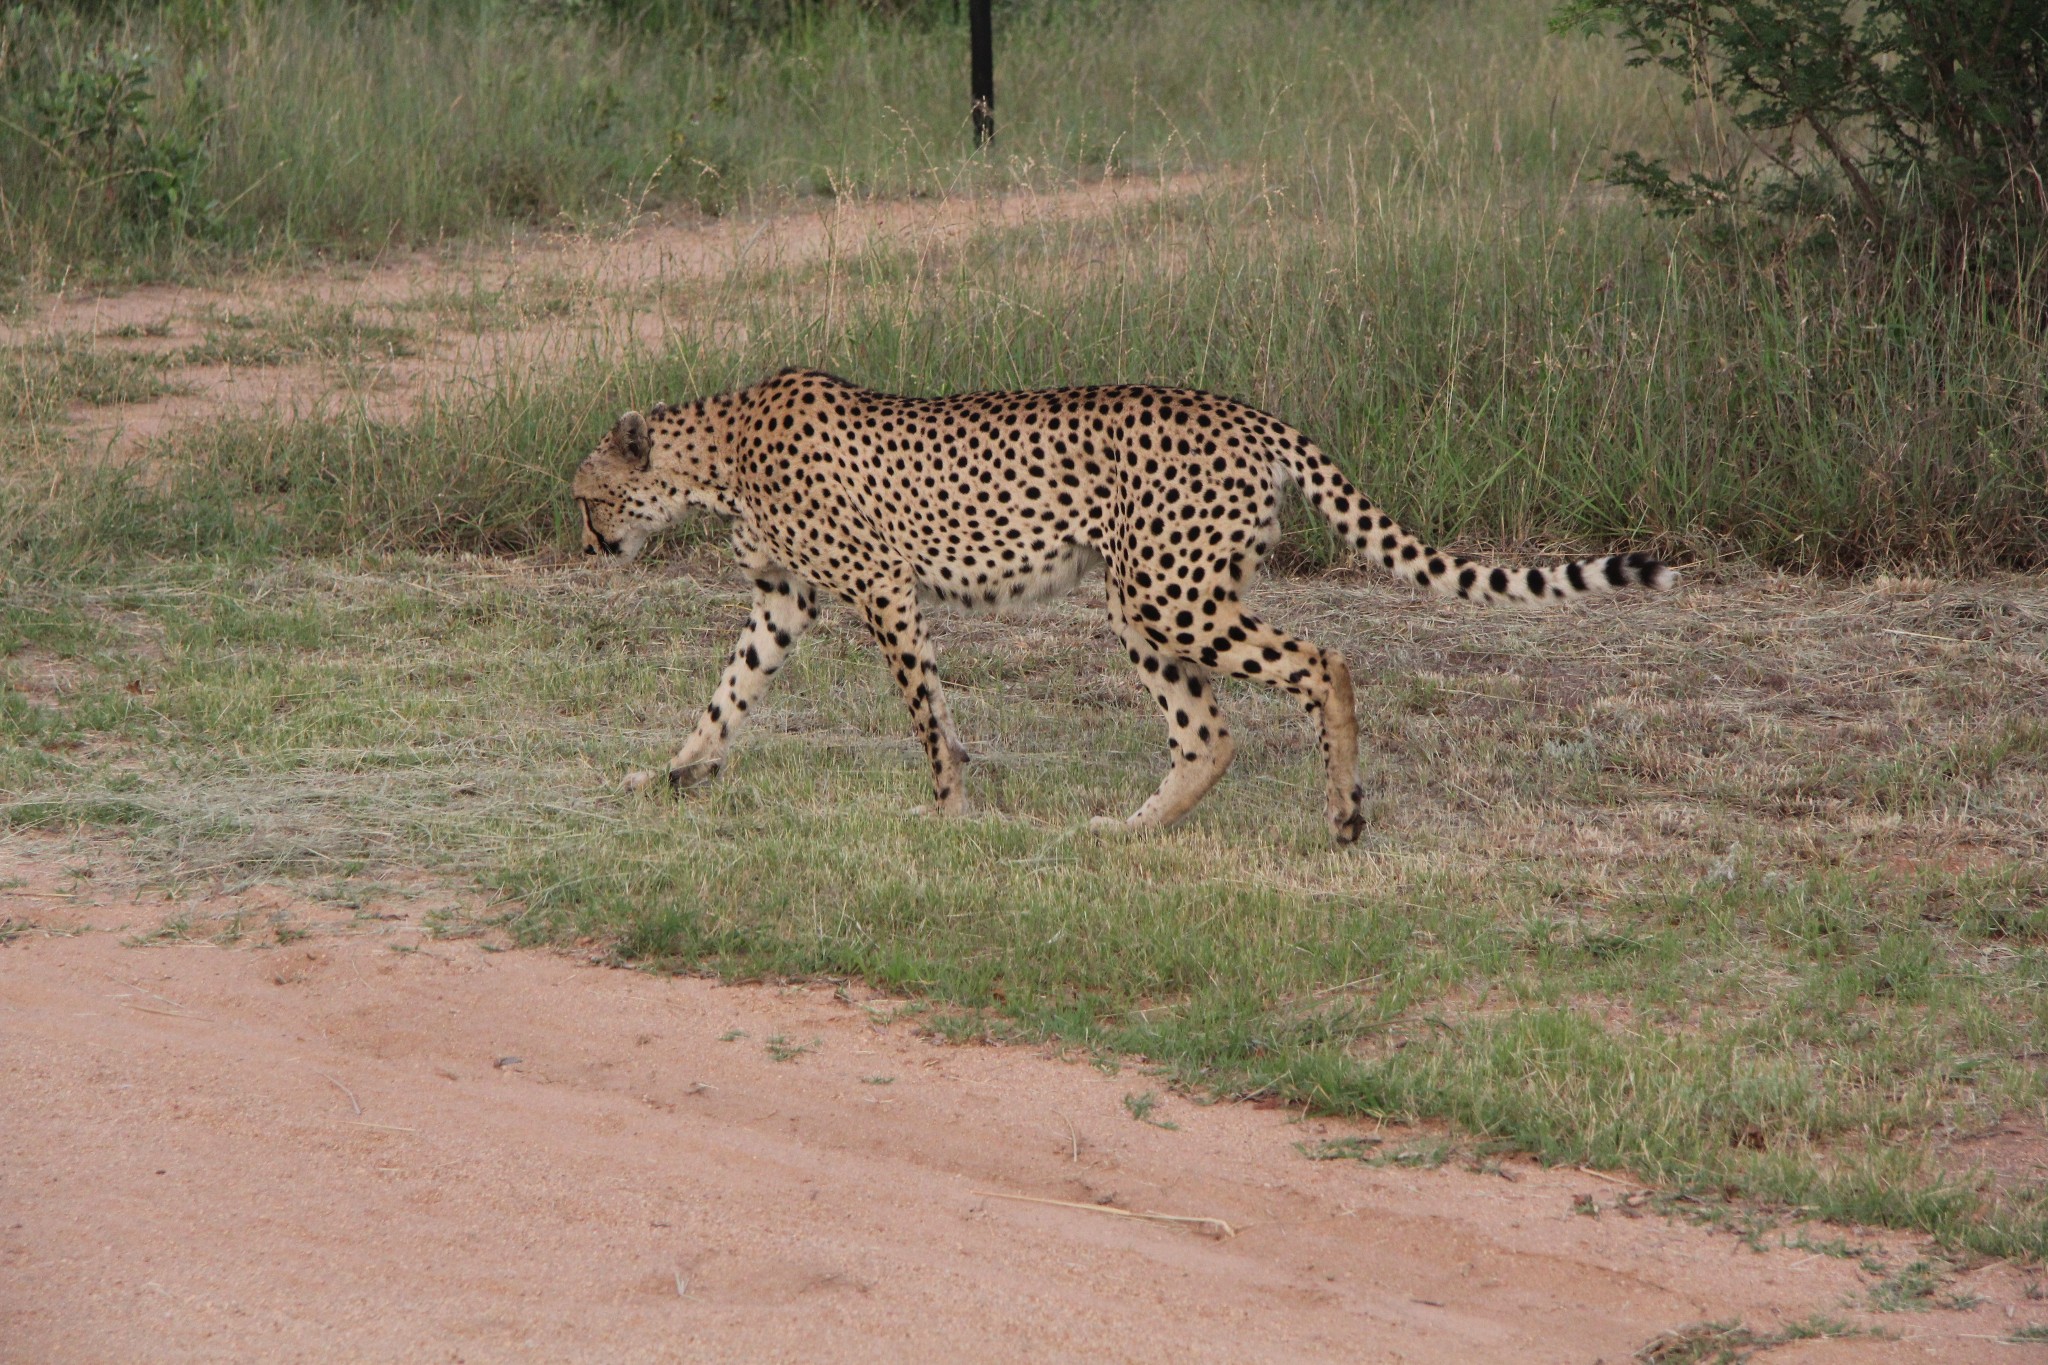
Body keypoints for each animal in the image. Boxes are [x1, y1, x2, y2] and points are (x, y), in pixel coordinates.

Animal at [569, 370, 1671, 843]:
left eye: (588, 498)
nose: (587, 545)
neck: (718, 455)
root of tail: (1252, 413)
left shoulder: (883, 590)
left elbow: (924, 712)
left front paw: (948, 808)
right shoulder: (784, 602)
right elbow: (725, 698)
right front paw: (669, 775)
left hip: (1164, 592)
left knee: (1325, 663)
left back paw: (1344, 812)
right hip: (1145, 602)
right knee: (1208, 733)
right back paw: (1133, 828)